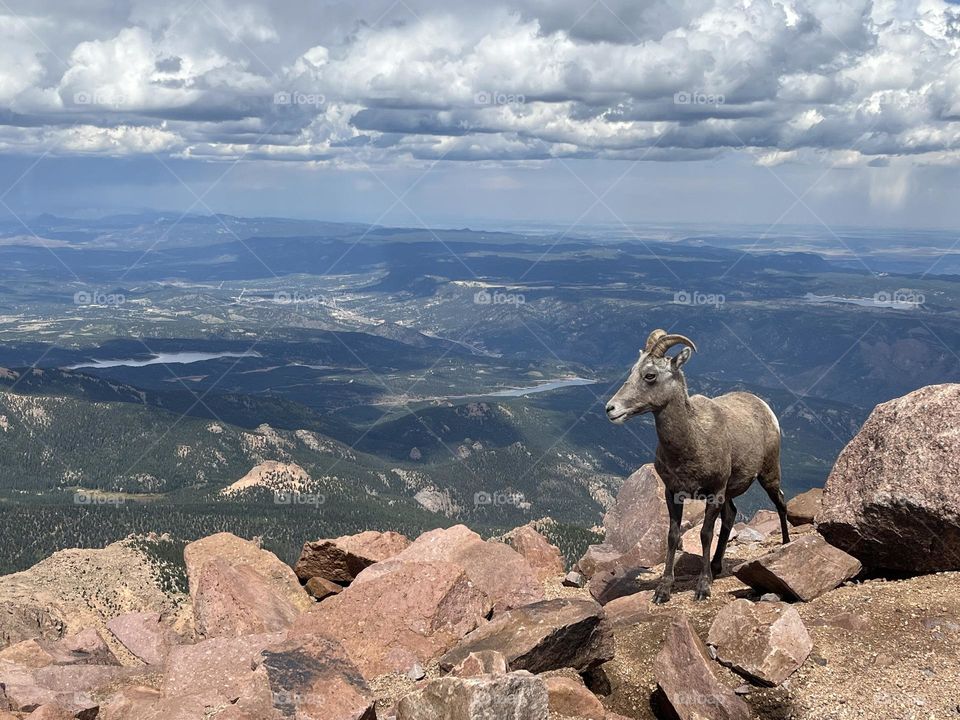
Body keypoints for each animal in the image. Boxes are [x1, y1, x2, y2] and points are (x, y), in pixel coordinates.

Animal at [604, 330, 792, 604]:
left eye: (650, 375)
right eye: (632, 370)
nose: (611, 409)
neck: (692, 439)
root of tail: (764, 407)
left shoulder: (713, 493)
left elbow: (705, 534)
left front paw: (703, 588)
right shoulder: (673, 493)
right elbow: (672, 536)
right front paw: (663, 591)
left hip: (767, 474)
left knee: (780, 502)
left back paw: (786, 544)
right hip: (729, 493)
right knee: (731, 516)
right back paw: (715, 567)